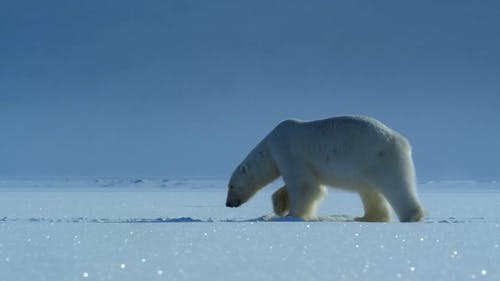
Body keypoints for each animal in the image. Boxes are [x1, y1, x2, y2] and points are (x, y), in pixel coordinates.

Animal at [227, 115, 426, 221]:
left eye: (231, 186)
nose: (228, 203)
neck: (269, 144)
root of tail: (402, 140)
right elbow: (311, 185)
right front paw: (279, 206)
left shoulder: (288, 151)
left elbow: (304, 186)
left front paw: (293, 215)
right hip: (368, 167)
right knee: (370, 192)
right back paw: (368, 217)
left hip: (380, 158)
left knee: (395, 186)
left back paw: (412, 216)